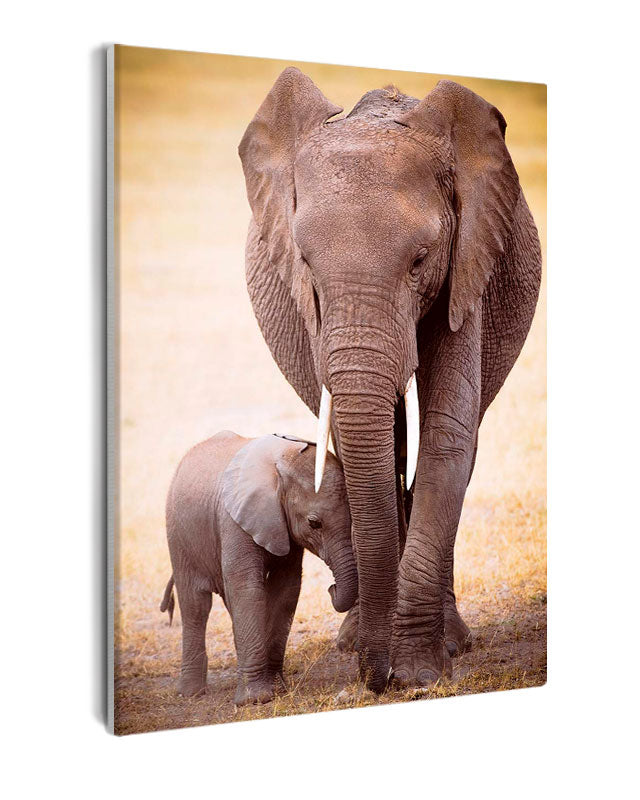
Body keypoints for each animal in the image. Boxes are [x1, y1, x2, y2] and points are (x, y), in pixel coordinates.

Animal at [161, 431, 357, 705]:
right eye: (314, 523)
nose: (332, 587)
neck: (280, 463)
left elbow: (286, 589)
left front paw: (276, 688)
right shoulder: (233, 520)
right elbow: (247, 588)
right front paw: (255, 700)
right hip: (178, 535)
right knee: (195, 604)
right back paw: (191, 693)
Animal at [238, 68, 541, 693]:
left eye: (421, 259)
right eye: (305, 263)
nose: (376, 680)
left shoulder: (468, 265)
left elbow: (448, 433)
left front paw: (423, 673)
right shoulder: (312, 312)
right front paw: (382, 658)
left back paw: (449, 642)